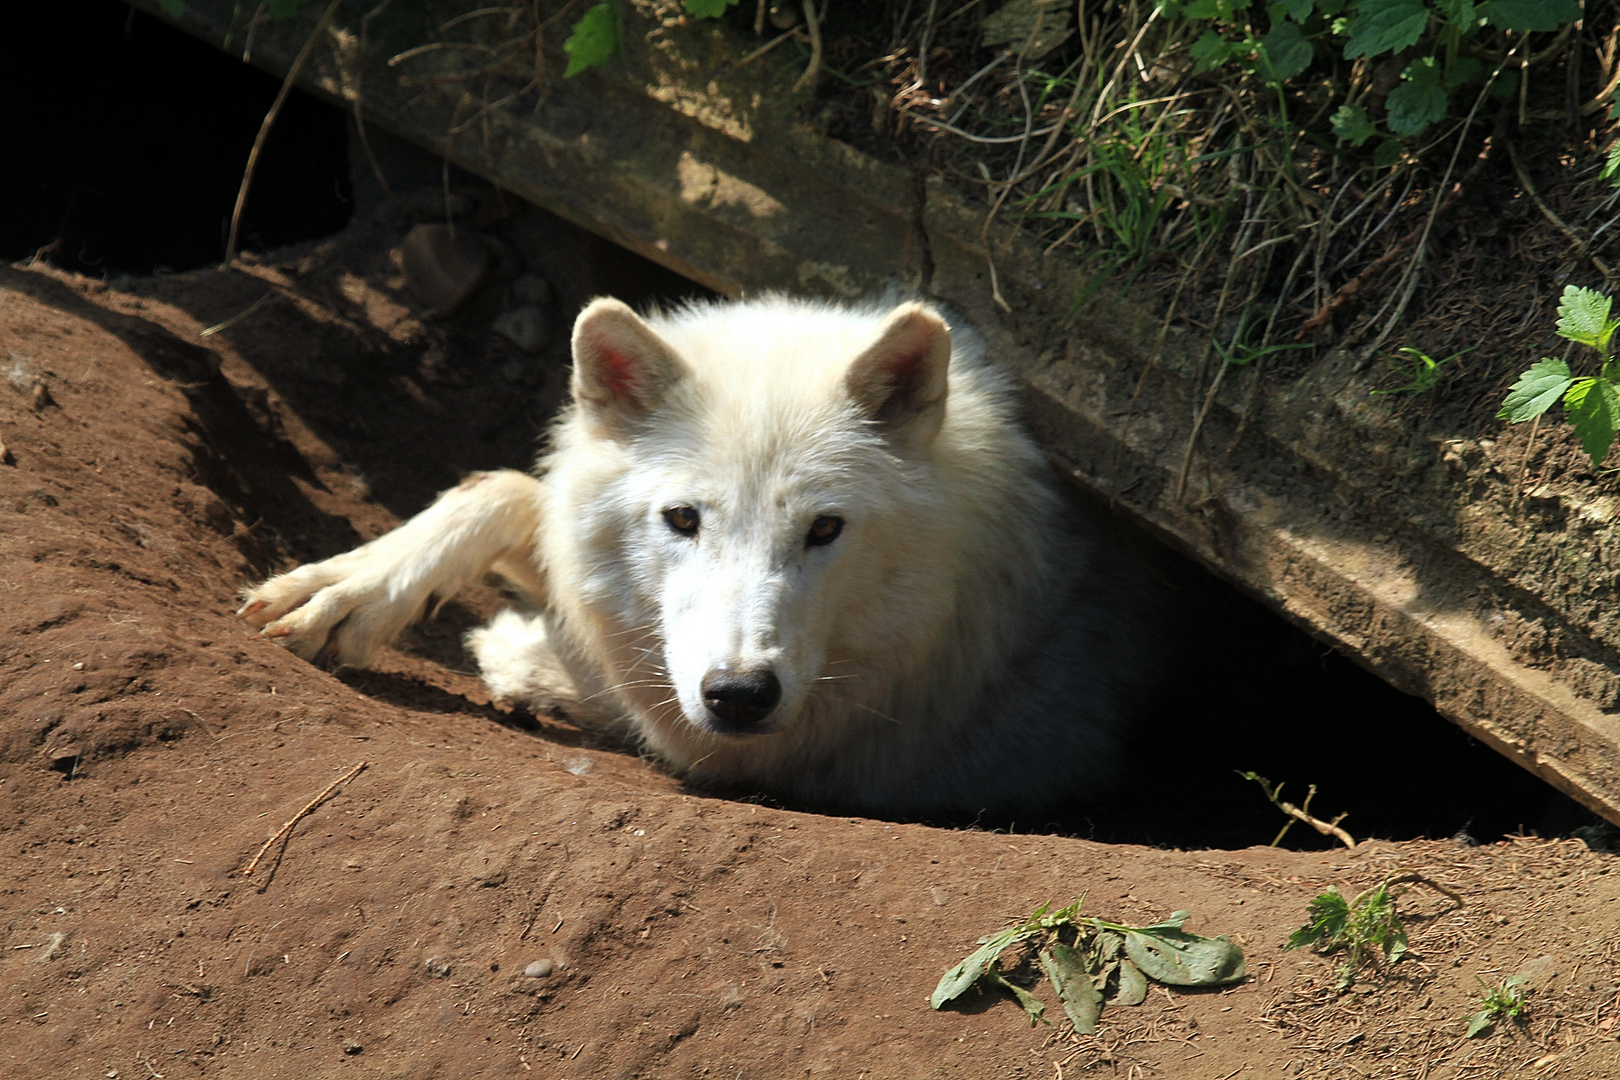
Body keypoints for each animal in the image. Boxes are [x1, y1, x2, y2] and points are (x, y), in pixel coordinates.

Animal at [236, 296, 1153, 819]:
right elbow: (504, 490)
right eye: (682, 519)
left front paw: (517, 654)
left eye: (825, 529)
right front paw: (347, 585)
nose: (740, 695)